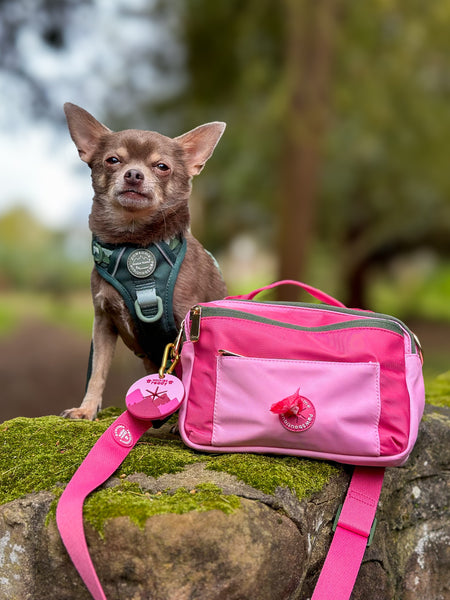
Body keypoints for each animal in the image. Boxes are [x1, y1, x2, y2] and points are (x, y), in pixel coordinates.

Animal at [61, 103, 227, 420]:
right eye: (113, 160)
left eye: (162, 166)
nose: (134, 174)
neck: (134, 242)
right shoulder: (103, 322)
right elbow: (97, 371)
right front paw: (86, 409)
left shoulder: (185, 326)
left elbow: (188, 373)